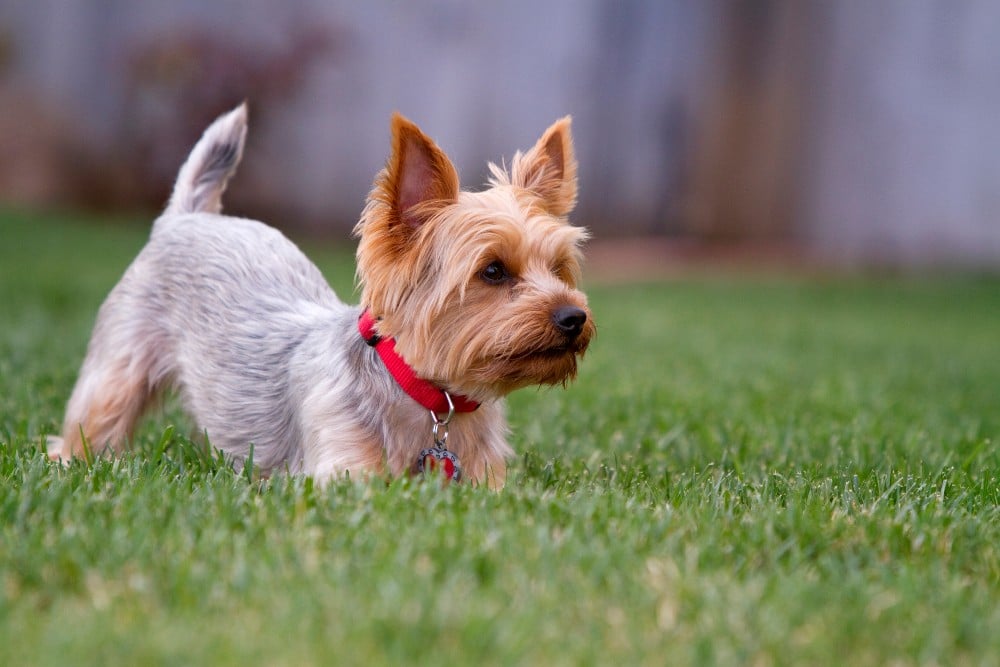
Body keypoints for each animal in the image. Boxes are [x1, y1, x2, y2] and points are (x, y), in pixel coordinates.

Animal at [47, 105, 592, 490]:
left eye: (559, 269)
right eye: (493, 271)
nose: (575, 316)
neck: (427, 396)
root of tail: (186, 216)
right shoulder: (341, 472)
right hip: (120, 363)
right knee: (94, 418)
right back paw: (72, 458)